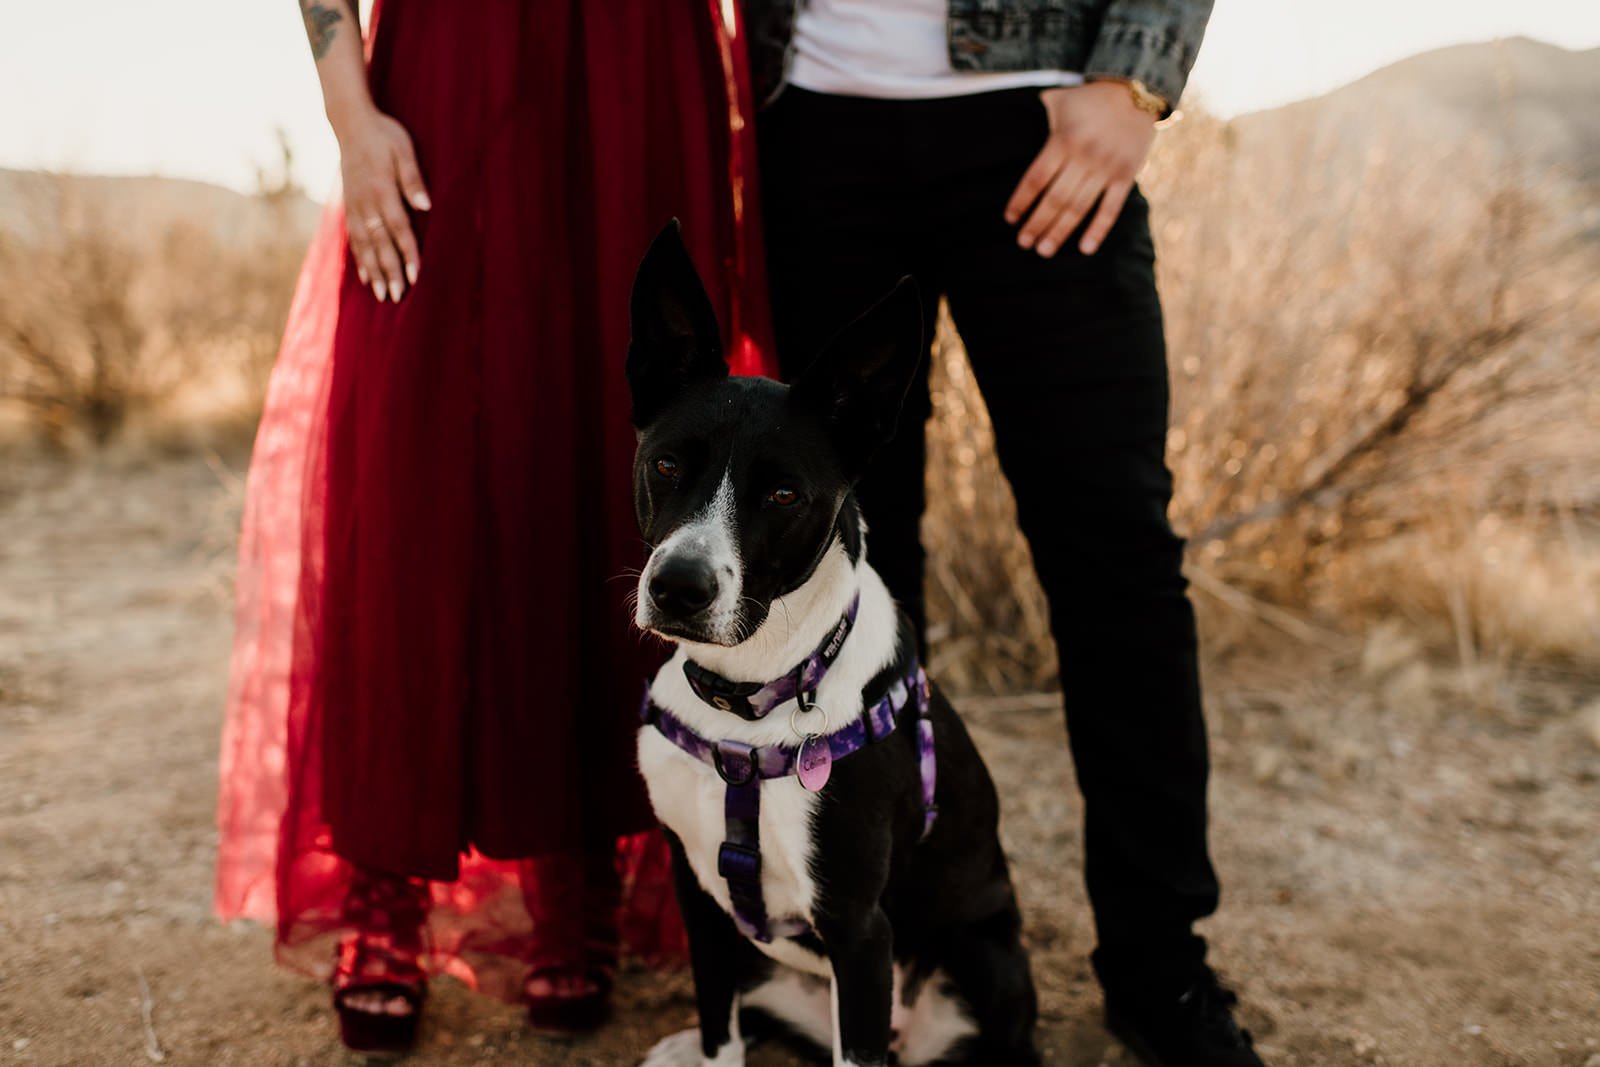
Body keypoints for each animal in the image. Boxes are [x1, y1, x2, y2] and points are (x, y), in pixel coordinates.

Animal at [624, 219, 1036, 1067]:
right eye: (666, 462)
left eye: (784, 494)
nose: (679, 588)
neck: (746, 702)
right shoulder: (698, 897)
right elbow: (720, 1028)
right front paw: (703, 1046)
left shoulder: (858, 929)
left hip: (985, 959)